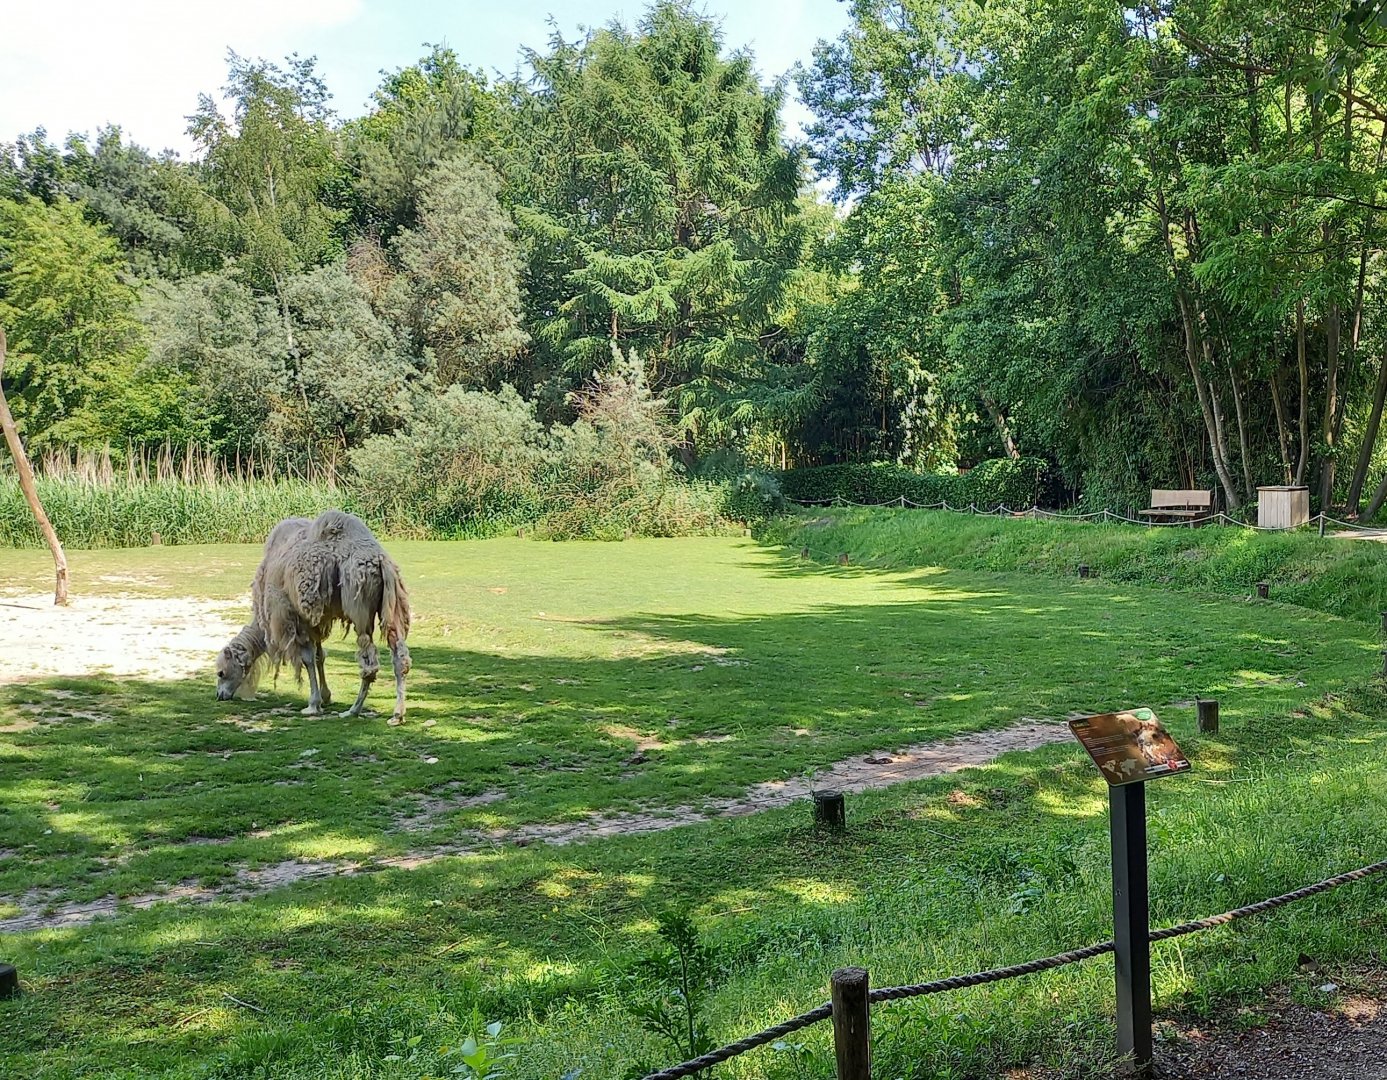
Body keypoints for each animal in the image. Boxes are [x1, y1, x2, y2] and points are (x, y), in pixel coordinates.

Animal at [215, 510, 412, 724]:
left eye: (221, 672)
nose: (220, 695)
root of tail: (379, 560)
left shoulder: (293, 615)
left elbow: (307, 659)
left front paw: (312, 705)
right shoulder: (317, 619)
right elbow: (320, 656)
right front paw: (326, 697)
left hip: (358, 606)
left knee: (369, 664)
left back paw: (353, 710)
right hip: (391, 605)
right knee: (399, 656)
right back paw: (397, 715)